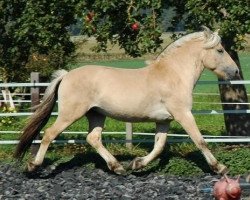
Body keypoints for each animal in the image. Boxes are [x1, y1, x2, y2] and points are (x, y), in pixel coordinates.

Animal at [14, 27, 239, 175]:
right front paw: (220, 168)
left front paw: (137, 164)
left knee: (93, 138)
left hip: (96, 114)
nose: (236, 71)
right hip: (70, 114)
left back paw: (118, 167)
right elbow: (200, 141)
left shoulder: (164, 120)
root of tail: (66, 75)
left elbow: (159, 146)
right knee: (49, 134)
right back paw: (33, 166)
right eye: (220, 50)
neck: (173, 74)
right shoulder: (183, 114)